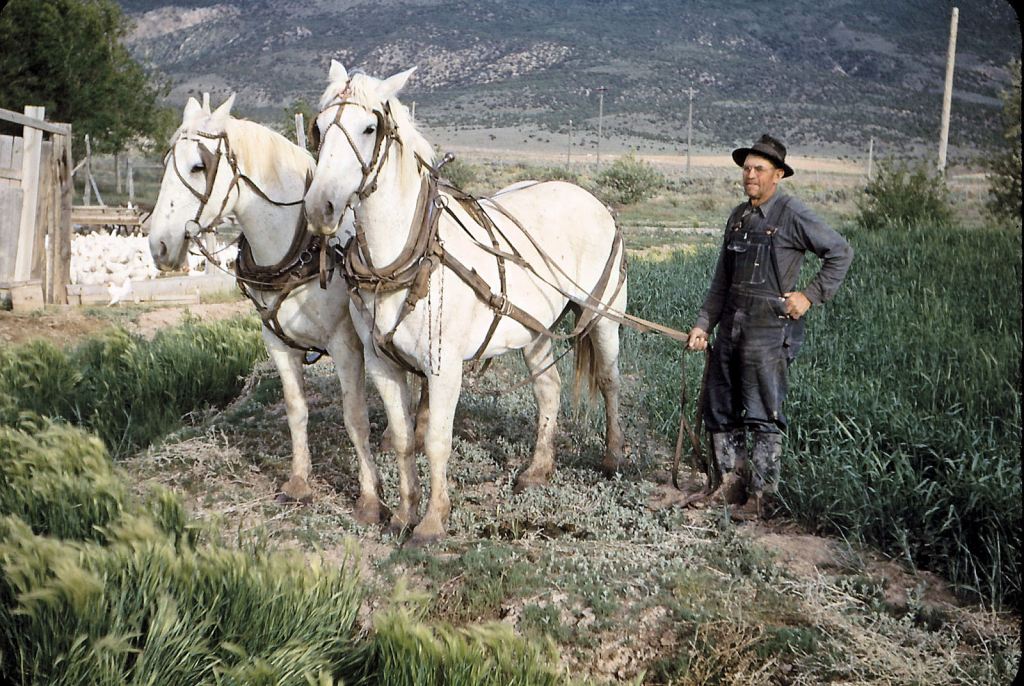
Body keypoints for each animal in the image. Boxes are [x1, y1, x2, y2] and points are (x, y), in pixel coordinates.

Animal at [147, 94, 389, 525]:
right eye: (165, 160)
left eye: (198, 165)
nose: (159, 245)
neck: (302, 248)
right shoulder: (276, 343)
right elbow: (296, 409)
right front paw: (299, 482)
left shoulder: (346, 345)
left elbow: (354, 418)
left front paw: (369, 499)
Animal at [303, 61, 628, 545]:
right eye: (319, 128)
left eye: (368, 128)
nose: (319, 207)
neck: (408, 255)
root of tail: (592, 199)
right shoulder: (382, 364)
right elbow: (403, 438)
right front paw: (403, 513)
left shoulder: (444, 367)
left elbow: (437, 440)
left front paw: (432, 521)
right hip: (534, 329)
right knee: (548, 390)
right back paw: (537, 470)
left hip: (603, 316)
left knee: (608, 382)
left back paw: (612, 457)